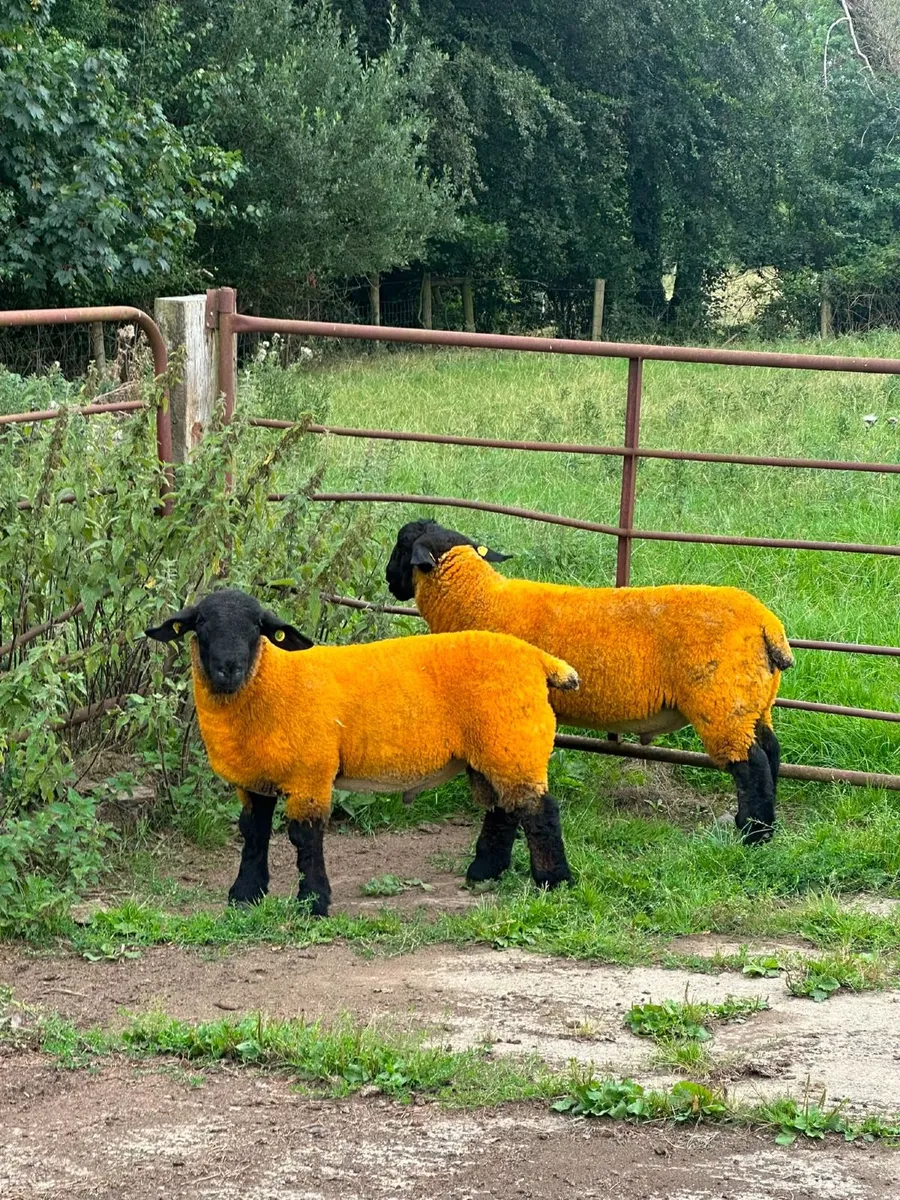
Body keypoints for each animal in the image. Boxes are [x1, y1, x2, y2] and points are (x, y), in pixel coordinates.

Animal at [146, 588, 580, 916]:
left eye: (257, 628)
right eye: (201, 623)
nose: (228, 667)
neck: (270, 681)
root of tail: (539, 659)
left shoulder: (311, 772)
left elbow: (305, 836)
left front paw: (313, 902)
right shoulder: (253, 779)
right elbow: (253, 832)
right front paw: (245, 895)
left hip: (516, 741)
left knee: (540, 811)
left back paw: (553, 881)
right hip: (493, 748)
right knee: (504, 809)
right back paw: (485, 872)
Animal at [386, 521, 795, 844]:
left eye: (402, 545)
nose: (389, 582)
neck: (478, 601)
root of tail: (765, 623)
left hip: (722, 702)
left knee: (752, 765)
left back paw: (753, 835)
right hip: (754, 702)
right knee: (771, 752)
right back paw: (761, 827)